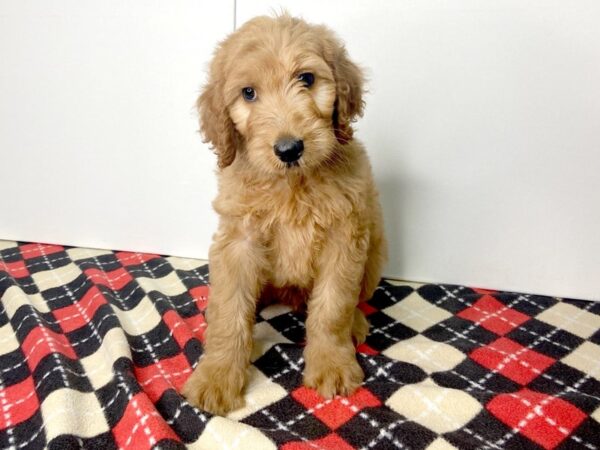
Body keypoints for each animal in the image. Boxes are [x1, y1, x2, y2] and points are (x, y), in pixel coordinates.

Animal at [183, 14, 386, 414]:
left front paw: (332, 363)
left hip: (375, 247)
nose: (289, 149)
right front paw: (216, 376)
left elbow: (333, 306)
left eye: (306, 78)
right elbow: (230, 311)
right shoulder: (238, 241)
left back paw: (356, 324)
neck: (292, 184)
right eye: (248, 93)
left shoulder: (345, 237)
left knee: (356, 298)